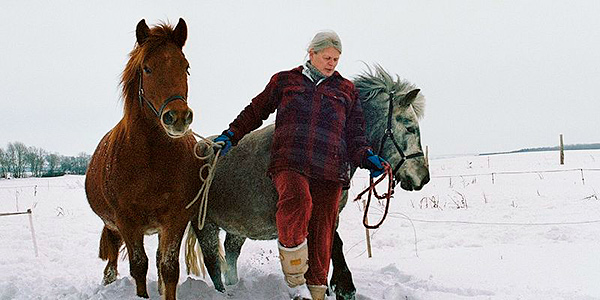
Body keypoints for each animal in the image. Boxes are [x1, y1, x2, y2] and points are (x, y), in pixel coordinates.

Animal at [85, 18, 204, 300]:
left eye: (186, 67)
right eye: (147, 68)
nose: (178, 117)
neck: (151, 160)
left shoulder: (175, 219)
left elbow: (168, 267)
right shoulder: (127, 222)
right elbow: (139, 266)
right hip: (114, 226)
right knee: (113, 252)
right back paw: (109, 279)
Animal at [190, 64, 428, 298]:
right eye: (410, 127)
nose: (424, 177)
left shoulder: (330, 213)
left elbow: (327, 247)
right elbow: (331, 246)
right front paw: (343, 287)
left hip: (237, 229)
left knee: (231, 254)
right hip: (205, 225)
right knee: (213, 264)